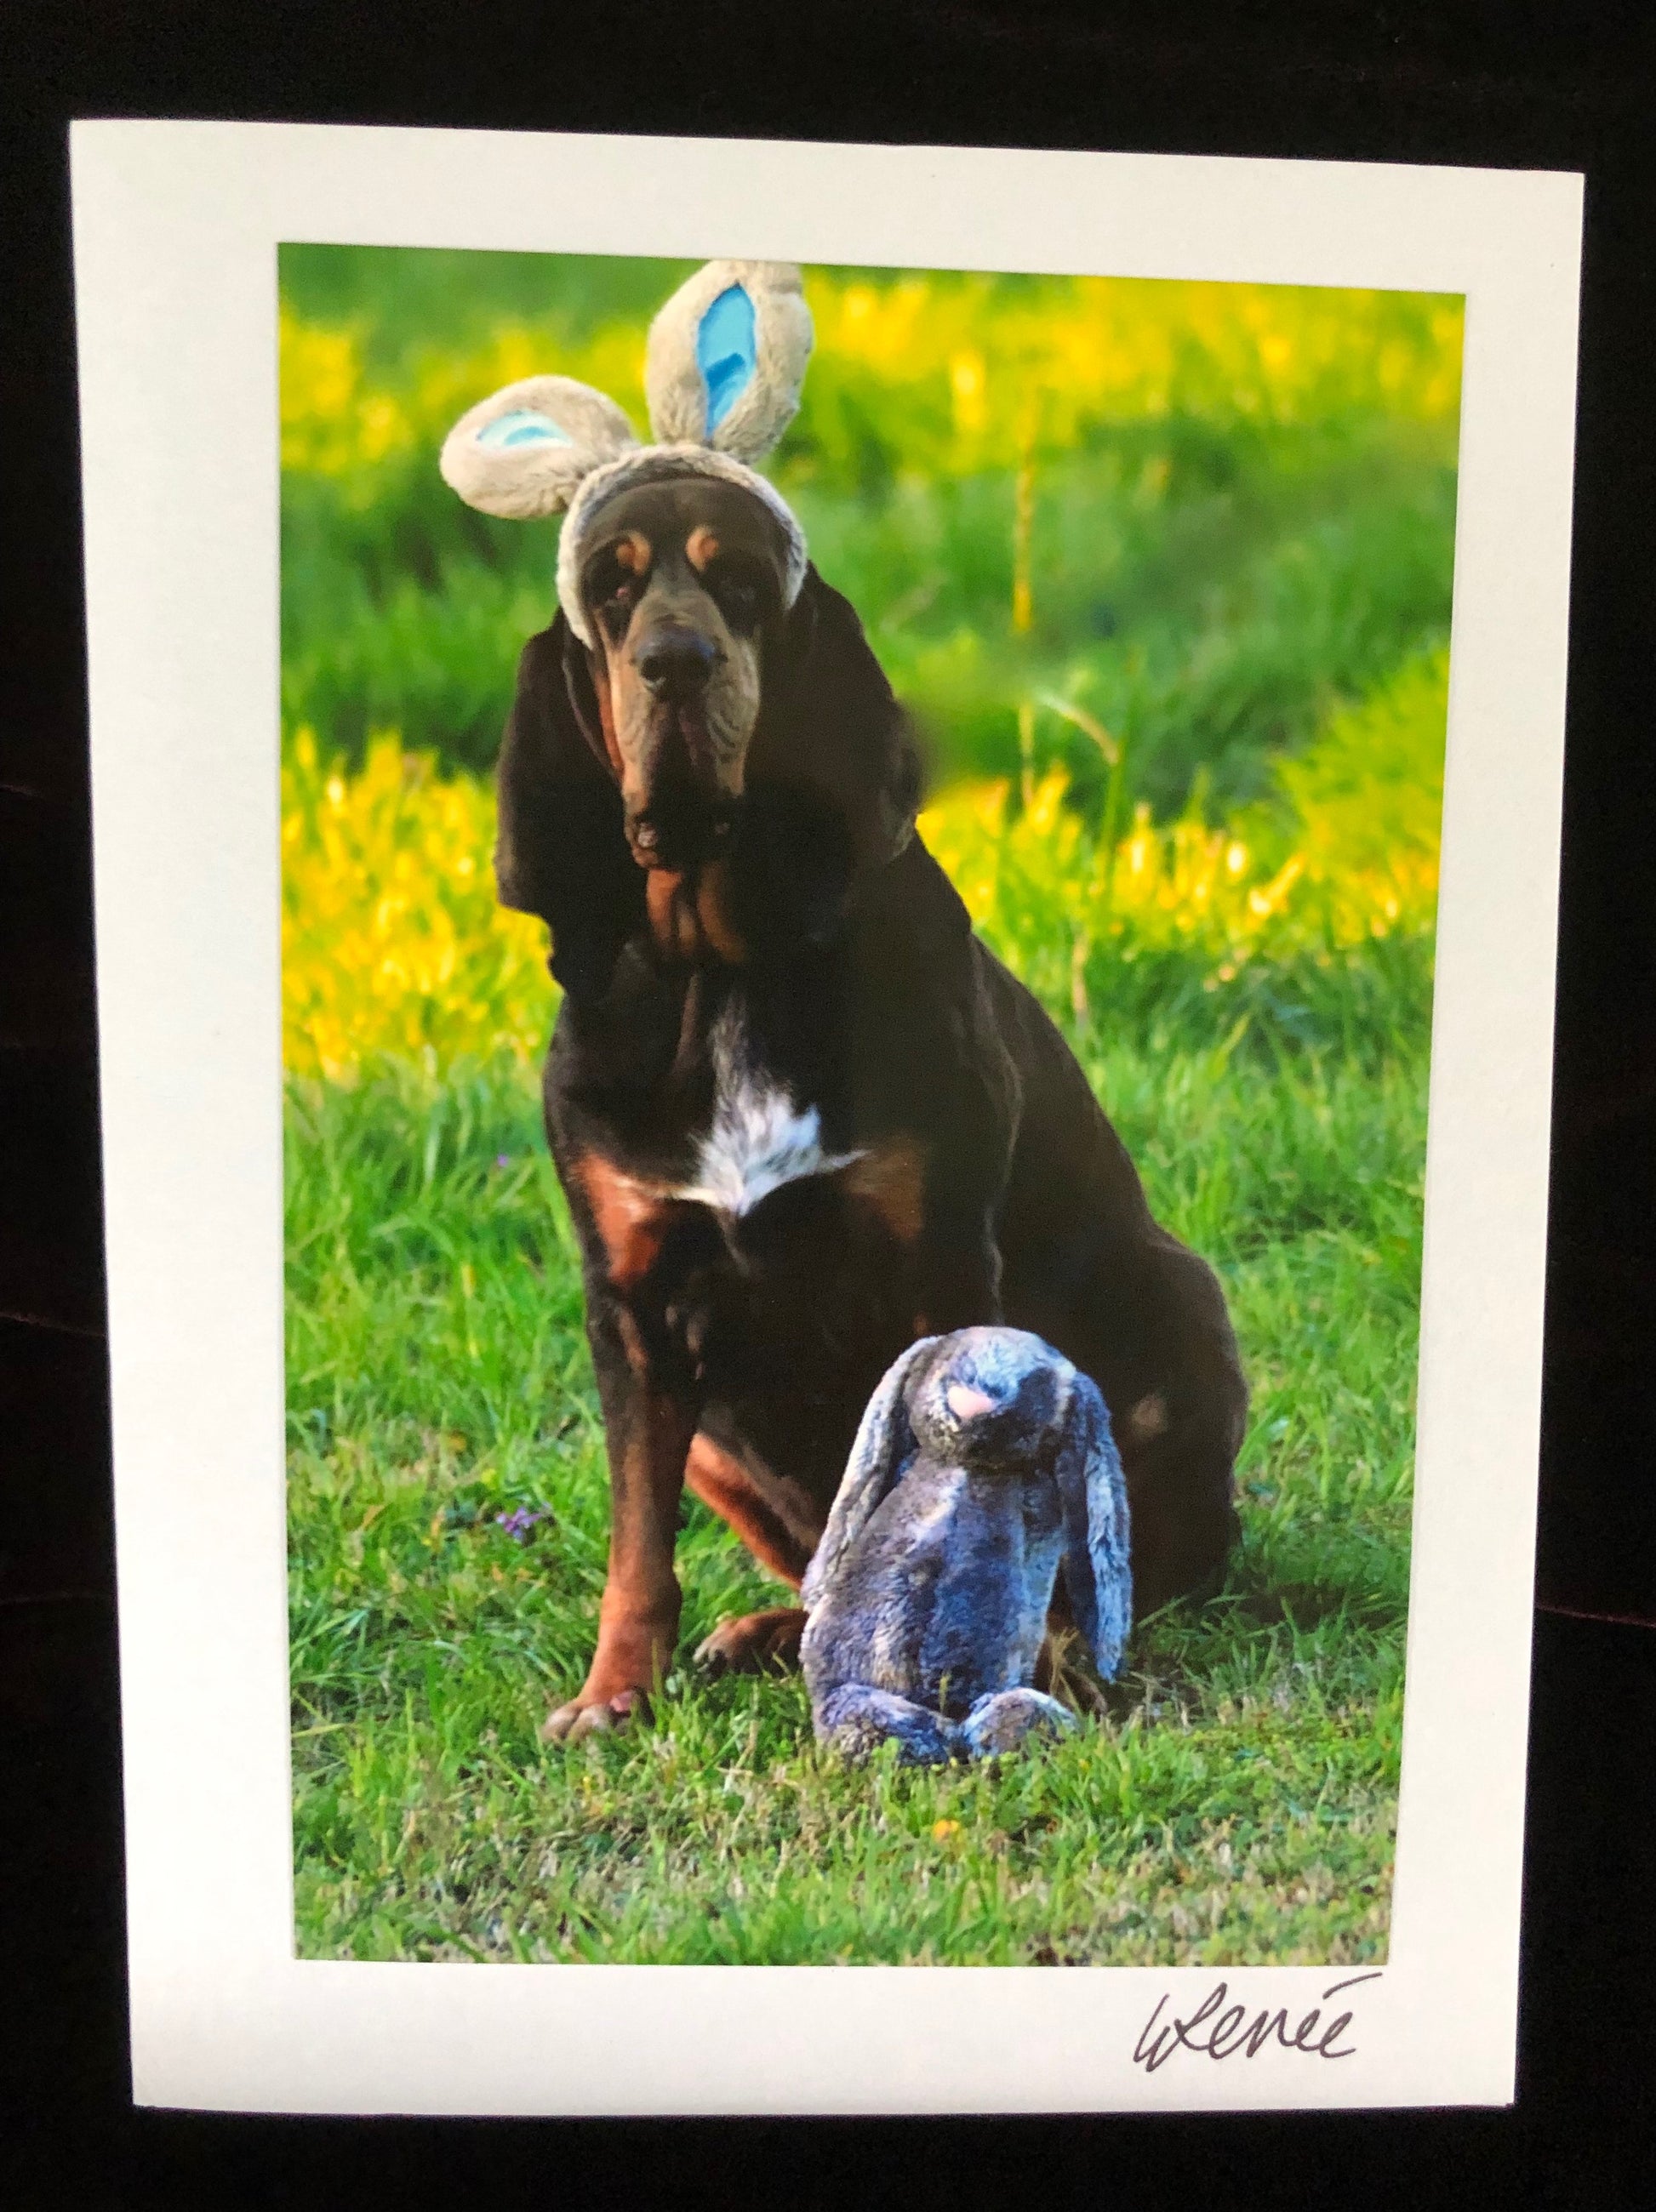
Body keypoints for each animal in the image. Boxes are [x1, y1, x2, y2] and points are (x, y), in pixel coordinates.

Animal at [498, 470, 1248, 1742]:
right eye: (608, 590)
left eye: (743, 582)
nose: (678, 660)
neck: (726, 968)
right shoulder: (632, 1304)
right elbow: (638, 1542)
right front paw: (610, 1696)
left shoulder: (939, 1260)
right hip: (713, 1437)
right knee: (809, 1565)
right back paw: (764, 1632)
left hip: (1181, 1299)